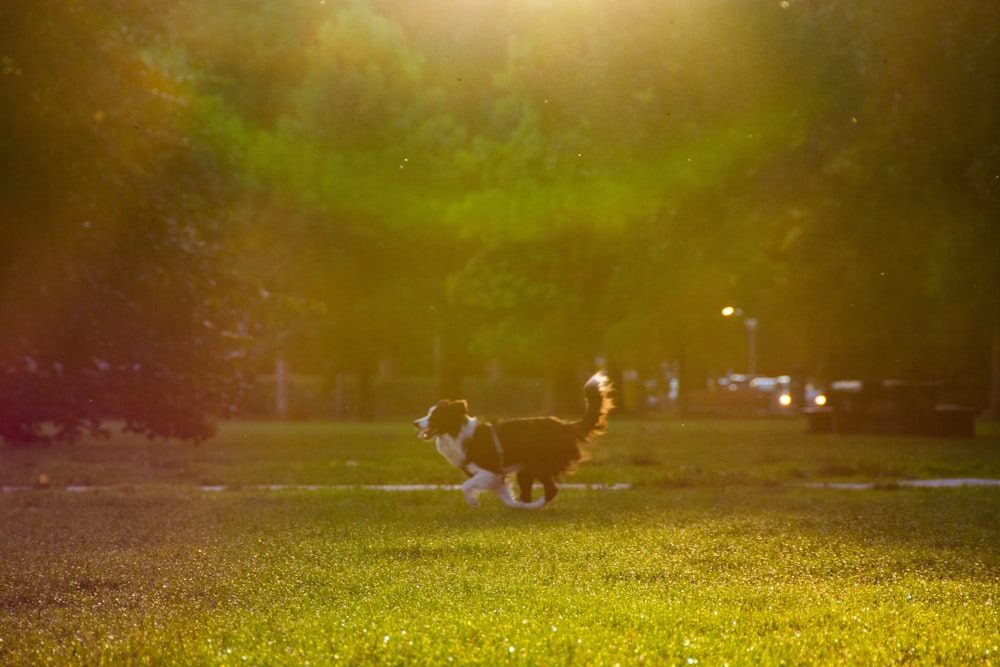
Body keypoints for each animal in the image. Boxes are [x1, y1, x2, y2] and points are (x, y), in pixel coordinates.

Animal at [412, 374, 612, 508]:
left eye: (435, 416)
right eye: (428, 413)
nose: (415, 423)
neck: (457, 432)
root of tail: (564, 425)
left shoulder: (490, 471)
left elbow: (465, 486)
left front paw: (473, 502)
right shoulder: (497, 477)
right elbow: (507, 499)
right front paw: (512, 506)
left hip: (538, 464)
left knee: (551, 490)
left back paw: (531, 507)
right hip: (525, 469)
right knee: (532, 491)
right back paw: (524, 507)